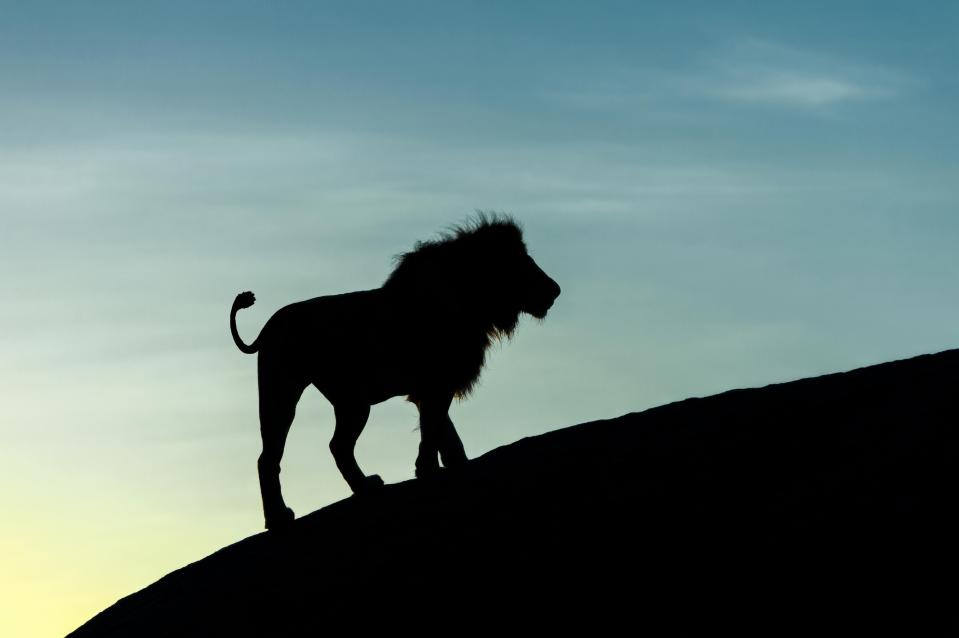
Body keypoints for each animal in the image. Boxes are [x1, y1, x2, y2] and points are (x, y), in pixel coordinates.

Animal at [232, 215, 560, 528]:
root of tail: (268, 328)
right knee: (279, 456)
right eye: (522, 260)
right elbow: (433, 429)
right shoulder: (436, 383)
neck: (468, 299)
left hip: (345, 401)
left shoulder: (431, 387)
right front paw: (428, 470)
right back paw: (282, 516)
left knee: (329, 448)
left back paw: (360, 489)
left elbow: (442, 429)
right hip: (290, 393)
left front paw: (453, 463)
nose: (555, 290)